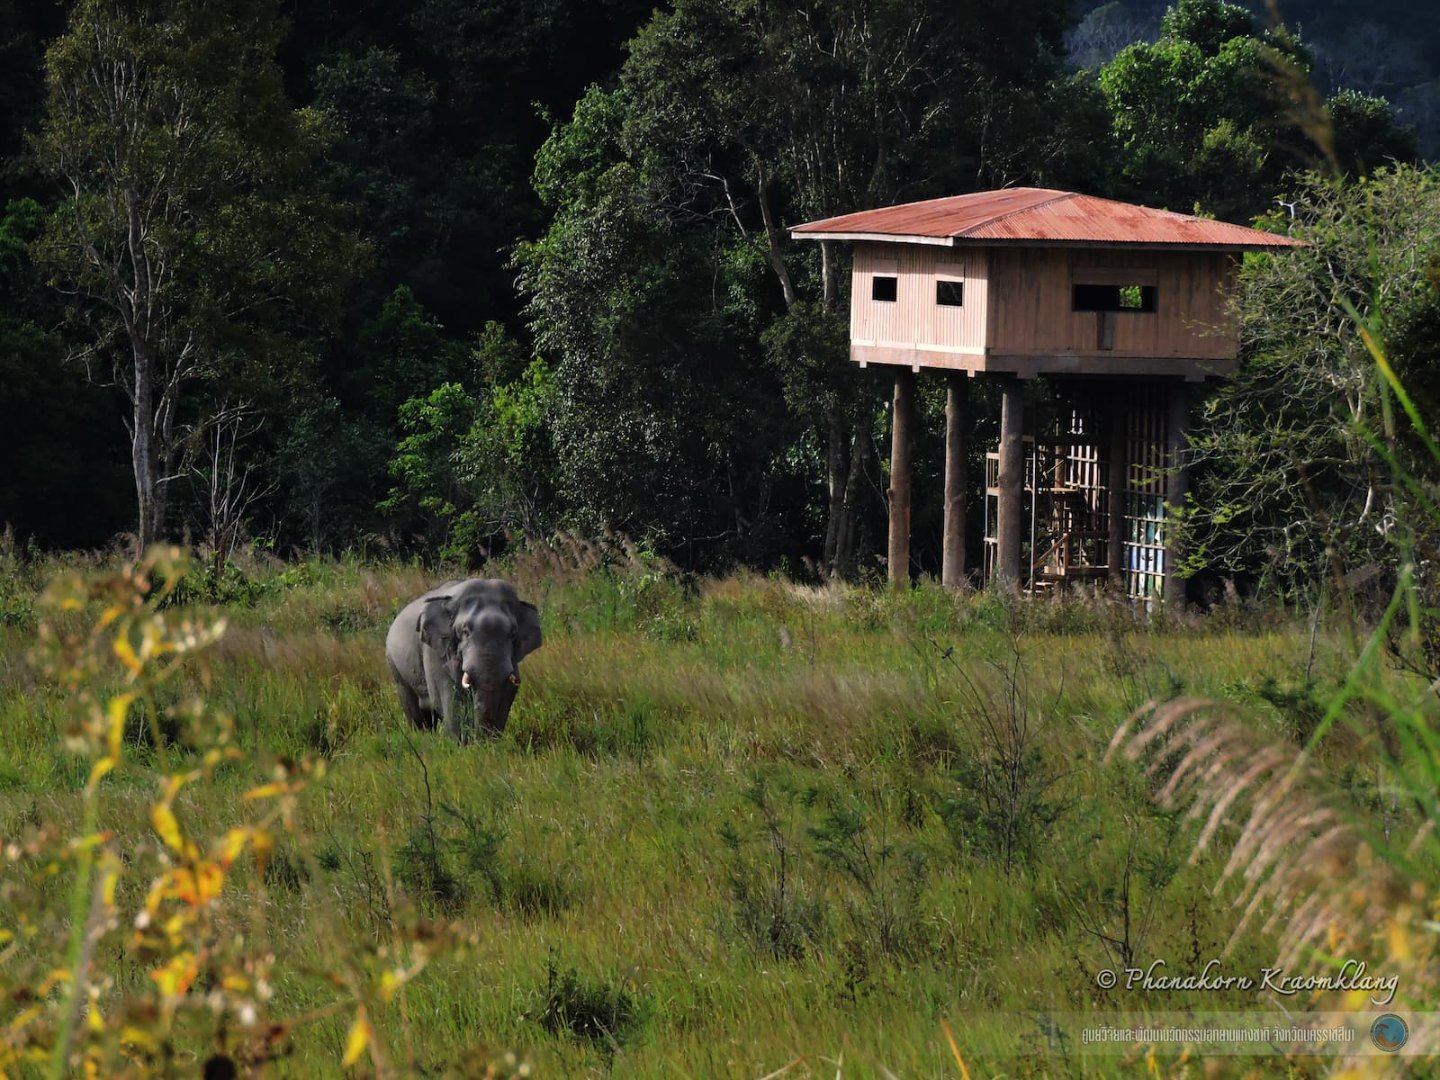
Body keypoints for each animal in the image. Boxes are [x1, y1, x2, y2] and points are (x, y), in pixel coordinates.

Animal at [383, 578, 541, 743]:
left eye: (513, 633)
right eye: (465, 632)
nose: (481, 741)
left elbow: (508, 693)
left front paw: (492, 743)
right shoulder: (436, 651)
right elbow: (449, 695)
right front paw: (462, 744)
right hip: (394, 666)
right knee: (415, 711)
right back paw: (422, 738)